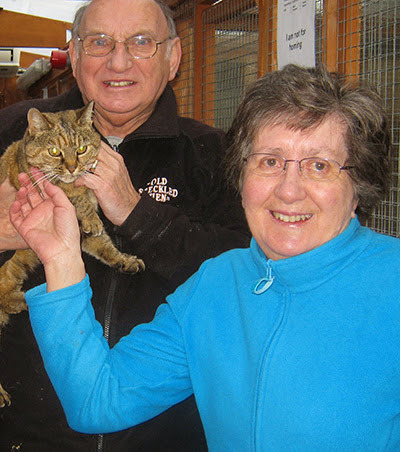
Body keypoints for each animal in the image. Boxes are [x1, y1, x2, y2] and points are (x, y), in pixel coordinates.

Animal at [0, 101, 145, 406]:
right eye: (55, 151)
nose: (71, 166)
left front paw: (125, 261)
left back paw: (27, 300)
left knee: (6, 295)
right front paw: (88, 211)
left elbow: (106, 246)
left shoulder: (79, 237)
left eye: (81, 149)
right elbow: (72, 195)